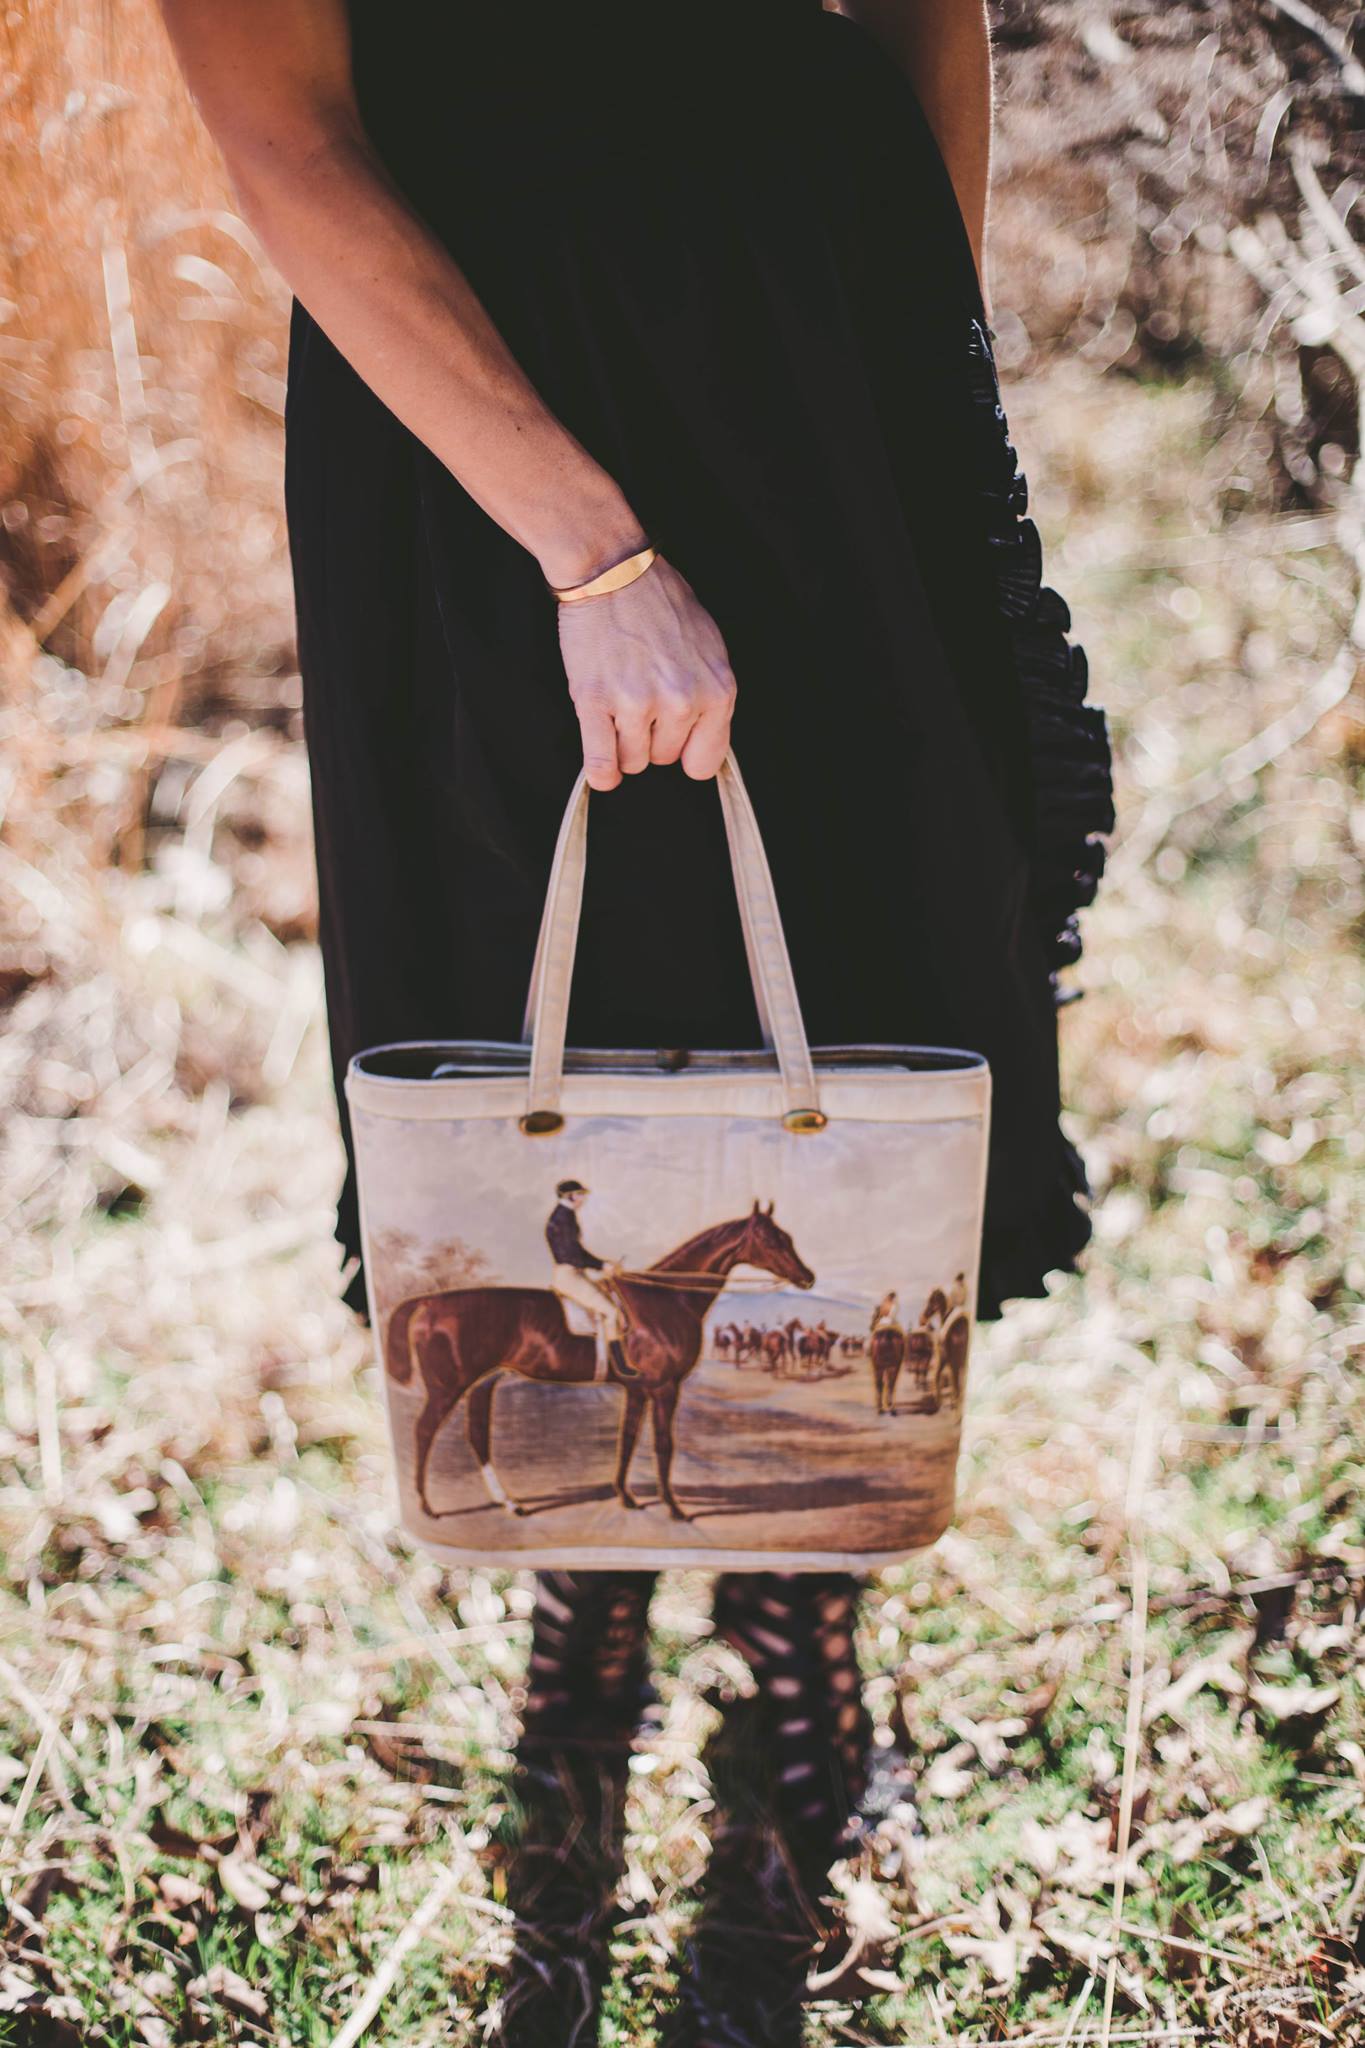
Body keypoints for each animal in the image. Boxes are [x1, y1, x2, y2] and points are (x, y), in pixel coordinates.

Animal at [384, 1201, 815, 1521]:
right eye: (770, 1238)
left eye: (788, 1237)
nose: (807, 1278)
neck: (668, 1299)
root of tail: (428, 1303)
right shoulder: (664, 1388)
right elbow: (663, 1445)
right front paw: (675, 1509)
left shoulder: (638, 1389)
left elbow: (627, 1439)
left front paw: (626, 1497)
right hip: (448, 1388)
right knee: (423, 1432)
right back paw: (427, 1506)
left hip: (482, 1385)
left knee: (476, 1437)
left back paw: (509, 1503)